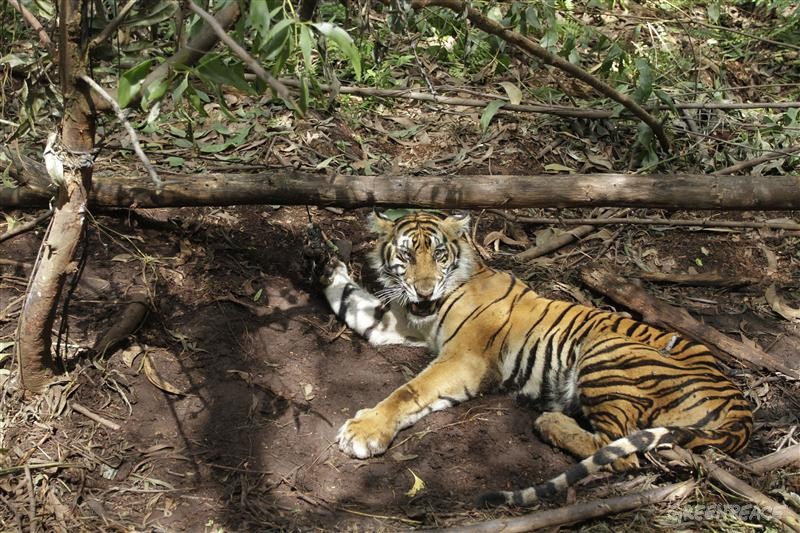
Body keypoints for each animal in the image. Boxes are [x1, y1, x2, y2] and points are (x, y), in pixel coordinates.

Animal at [318, 210, 752, 504]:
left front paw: (364, 432)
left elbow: (409, 391)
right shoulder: (397, 324)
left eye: (439, 255)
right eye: (407, 257)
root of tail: (741, 407)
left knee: (621, 454)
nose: (424, 291)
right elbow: (350, 300)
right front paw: (323, 259)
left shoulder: (464, 359)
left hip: (606, 348)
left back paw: (550, 420)